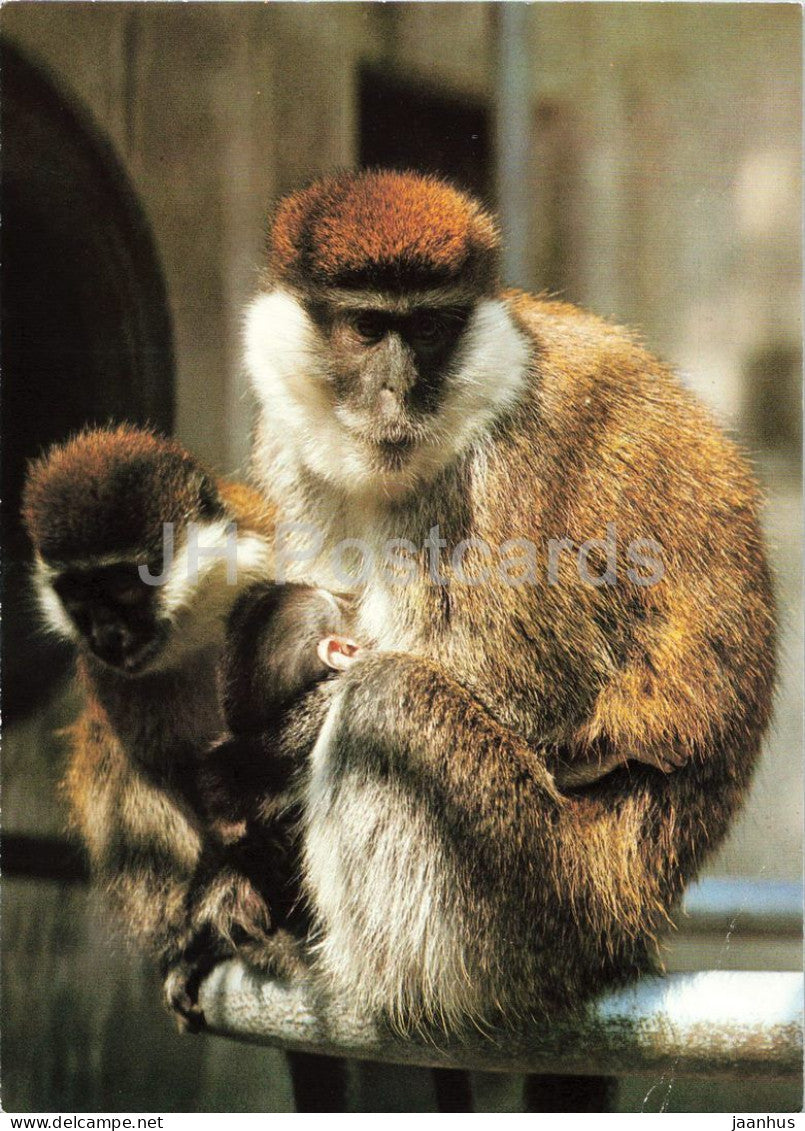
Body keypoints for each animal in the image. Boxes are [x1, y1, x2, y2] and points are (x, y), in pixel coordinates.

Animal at [21, 425, 360, 1025]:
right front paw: (217, 902)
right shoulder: (111, 680)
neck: (194, 616)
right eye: (77, 597)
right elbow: (172, 771)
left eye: (124, 587)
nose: (106, 636)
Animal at [235, 168, 776, 1033]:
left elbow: (540, 695)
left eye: (428, 328)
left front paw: (270, 747)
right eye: (367, 327)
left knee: (391, 703)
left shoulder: (511, 463)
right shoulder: (289, 447)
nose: (397, 390)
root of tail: (636, 919)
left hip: (547, 900)